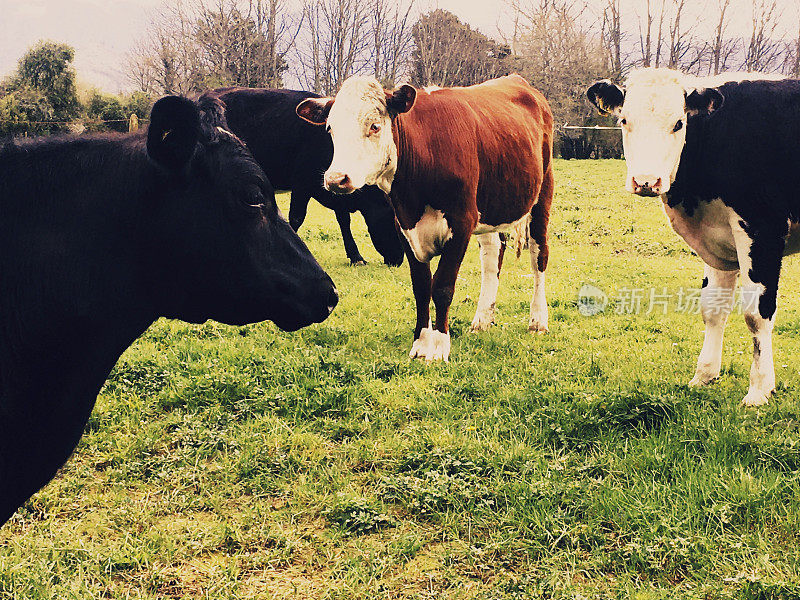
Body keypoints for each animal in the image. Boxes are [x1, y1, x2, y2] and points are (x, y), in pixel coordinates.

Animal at [296, 74, 552, 360]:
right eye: (331, 129)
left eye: (375, 126)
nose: (336, 179)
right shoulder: (405, 226)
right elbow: (420, 287)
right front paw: (420, 344)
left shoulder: (461, 223)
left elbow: (442, 287)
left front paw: (439, 347)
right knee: (491, 258)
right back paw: (482, 320)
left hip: (542, 194)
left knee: (539, 256)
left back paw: (538, 321)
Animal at [584, 69, 796, 408]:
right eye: (624, 120)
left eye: (678, 124)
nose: (646, 180)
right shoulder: (720, 240)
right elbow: (712, 309)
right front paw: (705, 375)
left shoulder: (763, 230)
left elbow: (756, 314)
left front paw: (760, 390)